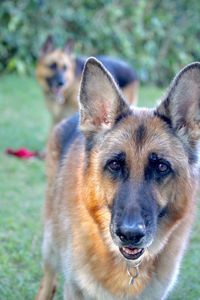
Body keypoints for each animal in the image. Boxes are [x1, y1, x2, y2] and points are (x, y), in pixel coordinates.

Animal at [35, 58, 200, 300]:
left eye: (161, 167)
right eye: (114, 164)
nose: (130, 234)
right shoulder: (74, 288)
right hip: (50, 244)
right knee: (48, 279)